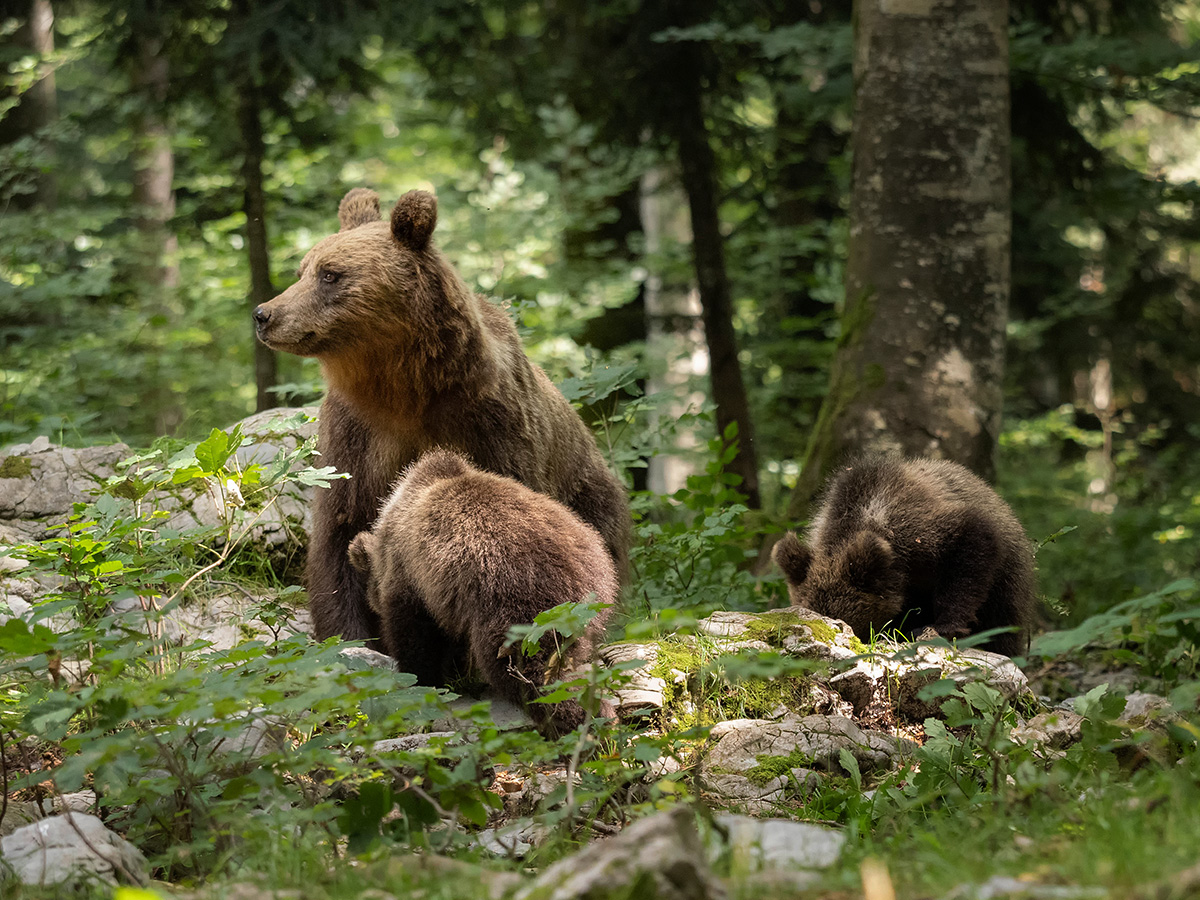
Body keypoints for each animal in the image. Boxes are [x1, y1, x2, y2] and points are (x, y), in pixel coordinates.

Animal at [249, 188, 633, 657]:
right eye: (302, 270)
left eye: (330, 274)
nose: (264, 314)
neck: (404, 390)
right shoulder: (354, 436)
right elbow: (340, 536)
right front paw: (351, 640)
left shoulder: (489, 423)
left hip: (592, 499)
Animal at [343, 448, 614, 734]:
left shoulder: (411, 576)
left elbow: (414, 636)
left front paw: (421, 679)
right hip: (584, 607)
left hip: (515, 601)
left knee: (525, 666)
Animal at [772, 458, 1036, 657]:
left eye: (845, 626)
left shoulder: (924, 531)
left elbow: (970, 549)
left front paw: (942, 627)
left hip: (1009, 582)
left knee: (1002, 625)